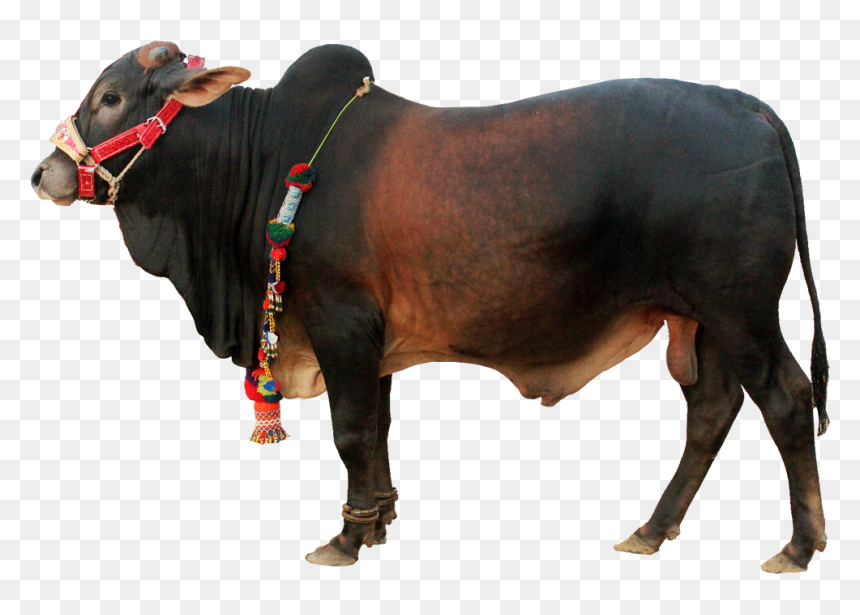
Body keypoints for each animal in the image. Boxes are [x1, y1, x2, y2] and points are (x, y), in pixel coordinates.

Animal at [31, 42, 829, 573]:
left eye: (111, 97)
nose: (44, 173)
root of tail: (749, 106)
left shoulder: (341, 323)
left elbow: (351, 431)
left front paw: (346, 539)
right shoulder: (373, 341)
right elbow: (378, 429)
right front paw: (379, 517)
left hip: (742, 310)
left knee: (788, 400)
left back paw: (797, 546)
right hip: (701, 320)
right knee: (713, 410)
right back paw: (652, 529)